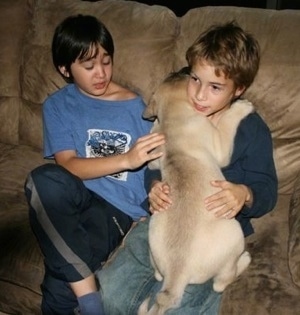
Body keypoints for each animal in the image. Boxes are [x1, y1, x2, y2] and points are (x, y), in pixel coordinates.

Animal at [138, 71, 253, 315]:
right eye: (188, 77)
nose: (182, 69)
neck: (172, 118)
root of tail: (176, 275)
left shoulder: (155, 154)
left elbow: (152, 160)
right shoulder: (220, 146)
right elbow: (227, 123)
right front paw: (240, 108)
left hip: (155, 249)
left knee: (157, 276)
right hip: (234, 237)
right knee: (220, 284)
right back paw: (244, 260)